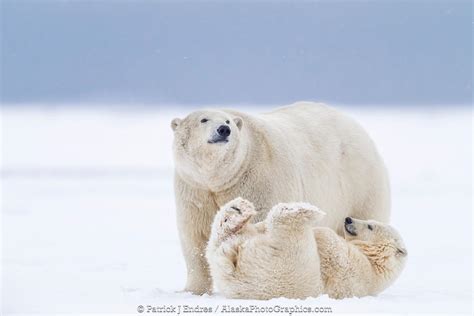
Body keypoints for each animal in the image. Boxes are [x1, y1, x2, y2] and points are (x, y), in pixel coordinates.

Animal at [170, 102, 388, 296]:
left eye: (228, 121)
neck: (221, 181)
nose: (224, 130)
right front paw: (191, 291)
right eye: (203, 119)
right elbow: (194, 239)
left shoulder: (261, 180)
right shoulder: (195, 192)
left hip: (360, 186)